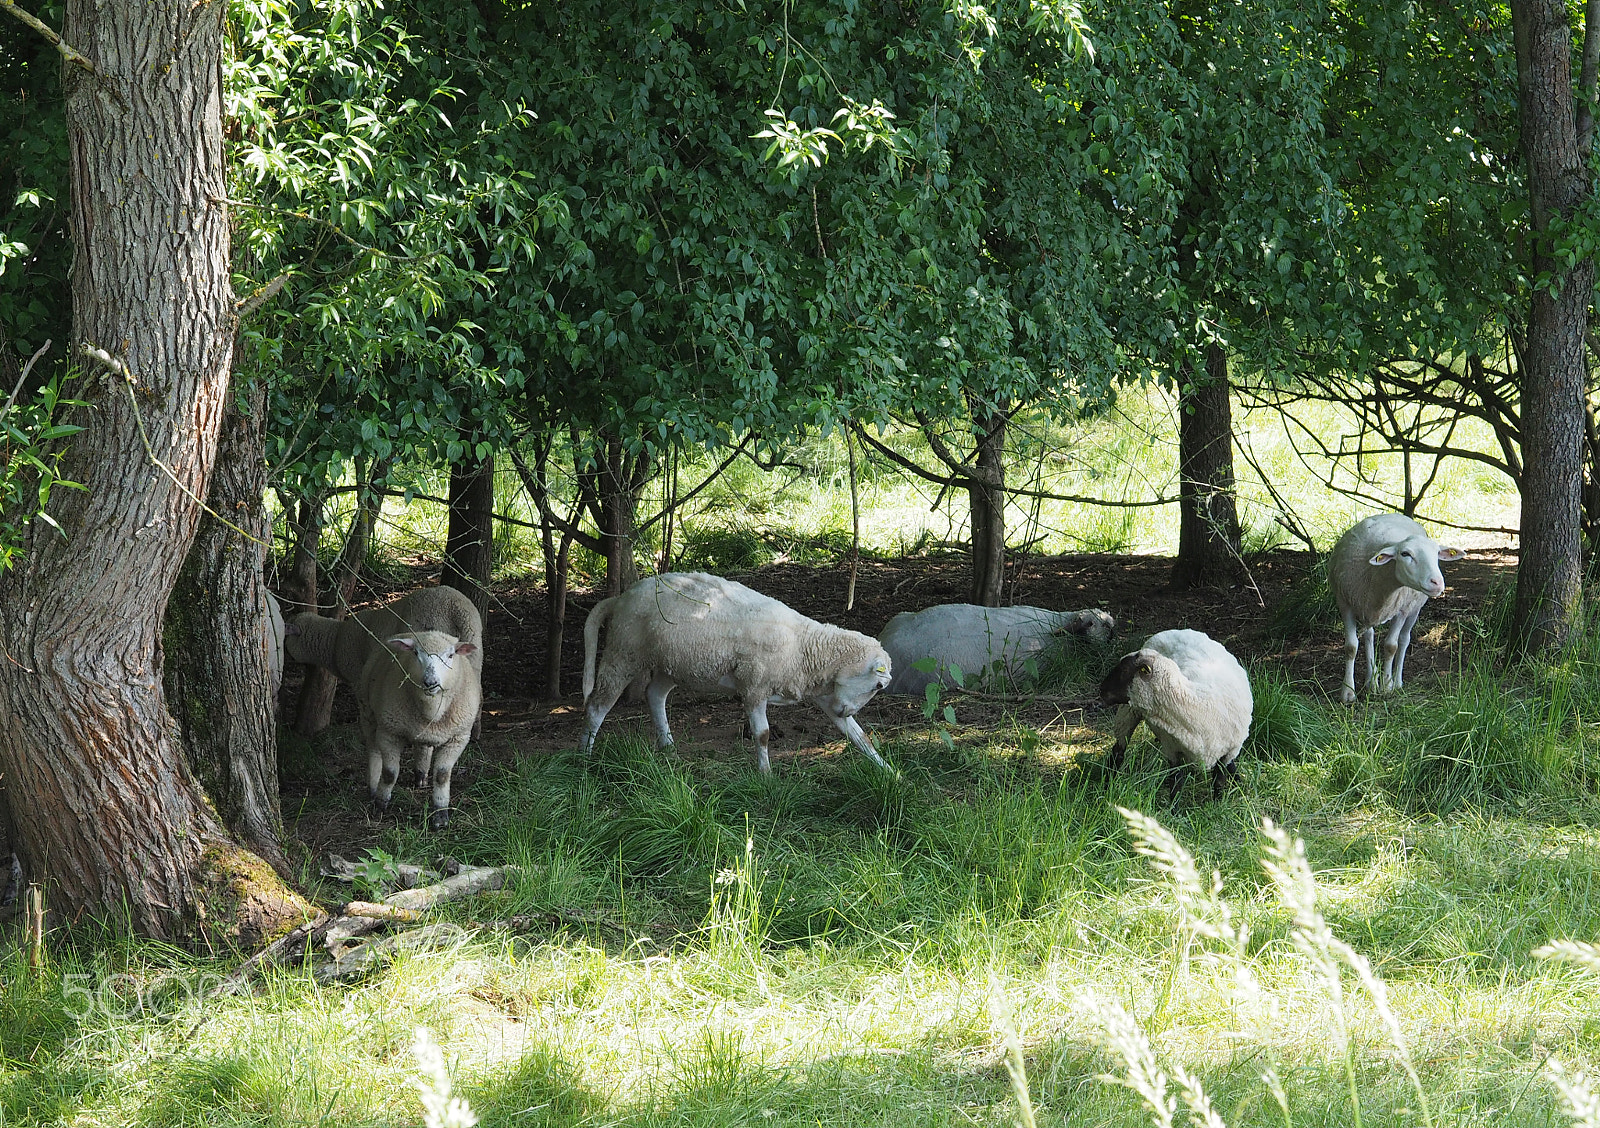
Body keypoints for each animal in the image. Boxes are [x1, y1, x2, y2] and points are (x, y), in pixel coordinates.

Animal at [357, 629, 480, 829]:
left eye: (451, 655)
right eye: (415, 653)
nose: (430, 682)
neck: (431, 710)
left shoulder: (458, 738)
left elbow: (442, 776)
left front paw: (440, 814)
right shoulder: (389, 732)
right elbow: (390, 773)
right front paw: (380, 805)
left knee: (422, 747)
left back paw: (421, 776)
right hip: (367, 711)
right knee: (373, 749)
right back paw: (374, 787)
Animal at [580, 572, 894, 773]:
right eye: (878, 686)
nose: (846, 710)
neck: (804, 646)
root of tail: (621, 598)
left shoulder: (827, 694)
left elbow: (859, 736)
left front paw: (889, 773)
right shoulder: (754, 686)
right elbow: (763, 734)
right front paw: (766, 776)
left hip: (671, 663)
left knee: (654, 695)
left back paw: (668, 747)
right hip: (623, 652)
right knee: (596, 706)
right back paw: (585, 760)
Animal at [1097, 628, 1253, 800]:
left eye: (1124, 670)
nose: (1101, 690)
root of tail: (1173, 630)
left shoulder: (1229, 752)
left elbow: (1219, 782)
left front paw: (1218, 802)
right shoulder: (1172, 750)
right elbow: (1176, 783)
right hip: (1129, 711)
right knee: (1118, 751)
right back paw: (1107, 786)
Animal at [1327, 513, 1464, 703]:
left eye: (1437, 554)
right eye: (1405, 554)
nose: (1437, 582)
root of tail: (1396, 514)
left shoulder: (1401, 610)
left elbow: (1391, 646)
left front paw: (1387, 686)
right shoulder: (1344, 603)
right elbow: (1351, 647)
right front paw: (1348, 692)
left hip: (1414, 608)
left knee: (1404, 639)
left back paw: (1397, 681)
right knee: (1369, 635)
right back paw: (1371, 682)